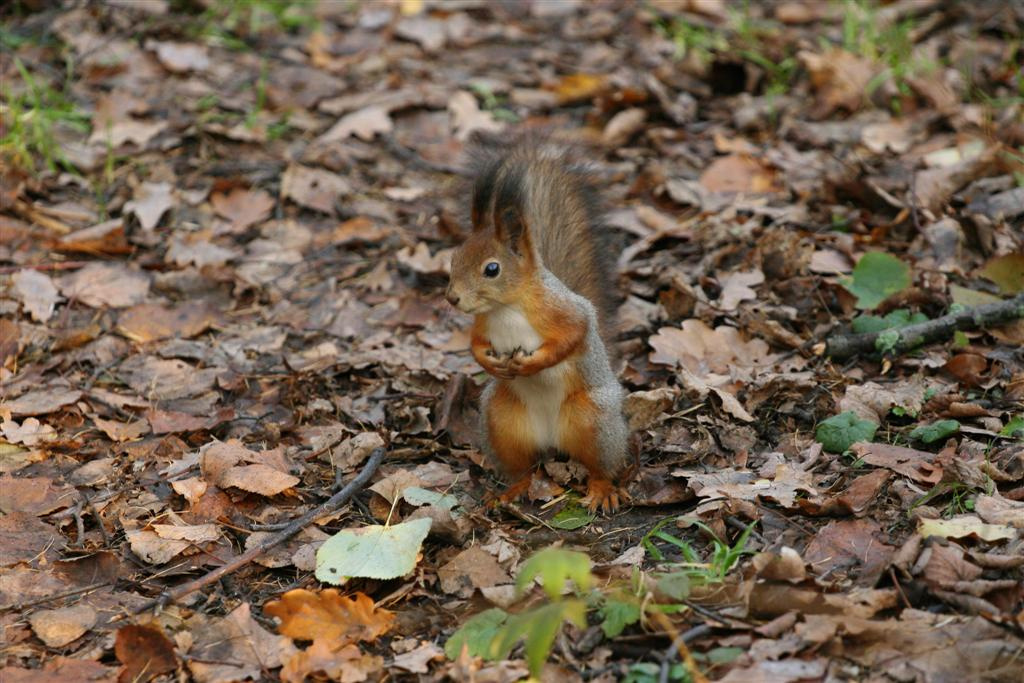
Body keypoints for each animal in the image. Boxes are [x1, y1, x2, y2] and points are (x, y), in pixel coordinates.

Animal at [445, 137, 630, 512]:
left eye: (492, 269)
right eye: (454, 258)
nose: (452, 298)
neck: (506, 307)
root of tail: (551, 438)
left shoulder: (564, 310)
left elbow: (574, 333)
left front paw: (534, 363)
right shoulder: (482, 324)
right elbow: (475, 344)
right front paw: (489, 363)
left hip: (593, 419)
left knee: (600, 465)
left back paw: (602, 489)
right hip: (502, 420)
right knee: (522, 469)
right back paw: (509, 492)